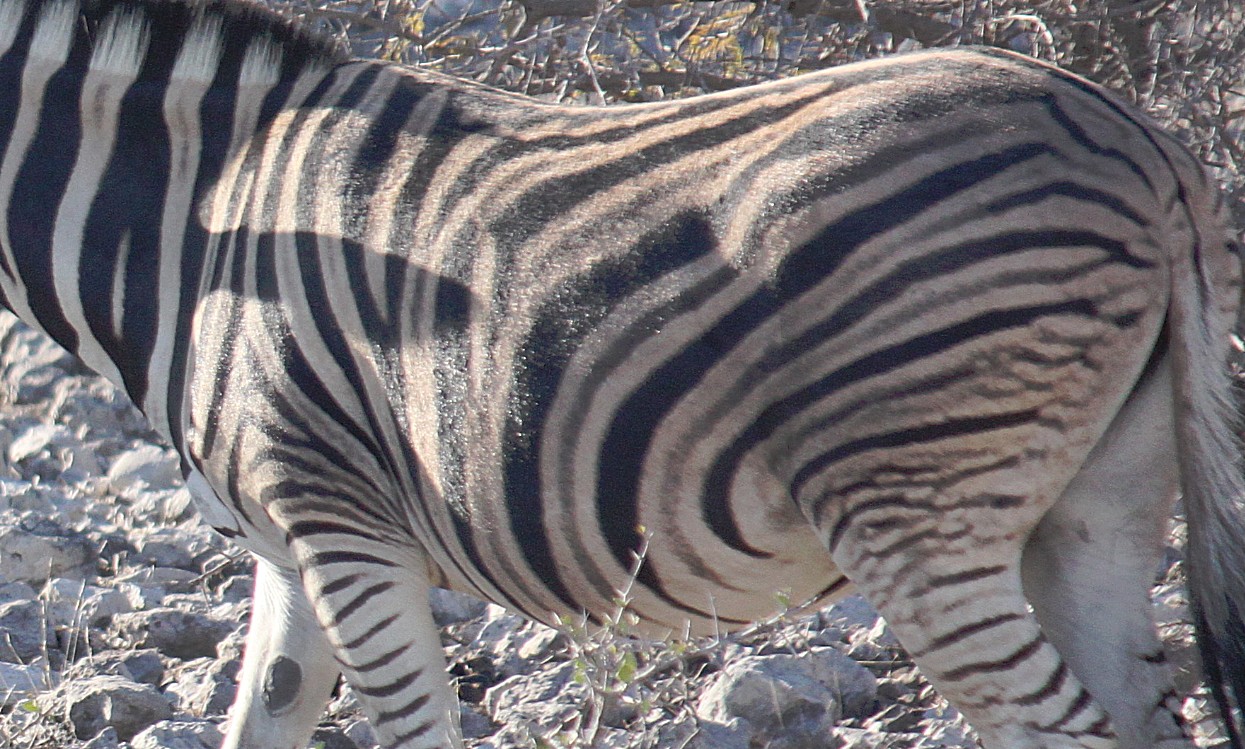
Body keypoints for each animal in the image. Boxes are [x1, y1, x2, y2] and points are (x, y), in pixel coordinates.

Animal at [2, 0, 1245, 741]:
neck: (197, 221)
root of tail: (1146, 144)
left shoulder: (343, 520)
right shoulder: (291, 541)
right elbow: (268, 709)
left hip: (916, 503)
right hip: (1097, 502)